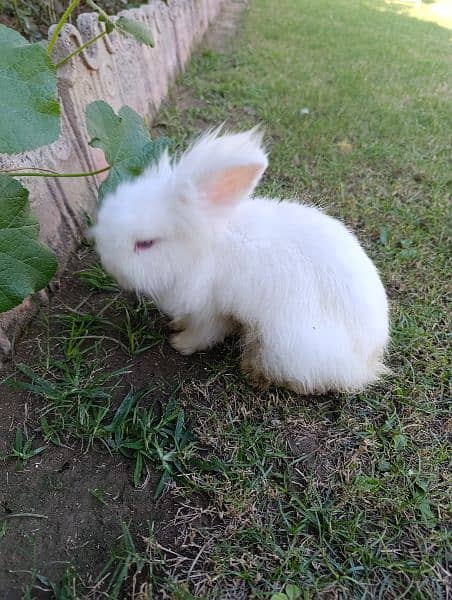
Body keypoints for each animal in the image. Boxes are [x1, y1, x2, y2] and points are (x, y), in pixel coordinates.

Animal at [91, 126, 388, 394]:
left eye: (145, 243)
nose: (107, 261)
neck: (203, 250)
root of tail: (368, 362)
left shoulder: (210, 309)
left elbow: (205, 333)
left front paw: (180, 343)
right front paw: (176, 325)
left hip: (293, 343)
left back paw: (257, 371)